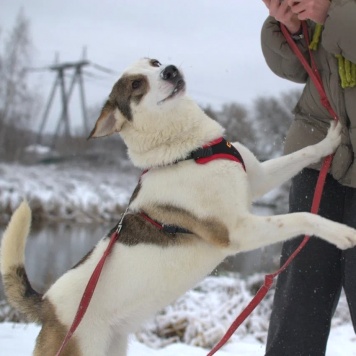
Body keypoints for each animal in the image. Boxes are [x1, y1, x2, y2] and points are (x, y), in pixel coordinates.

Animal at [2, 57, 356, 354]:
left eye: (154, 63)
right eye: (136, 85)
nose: (170, 70)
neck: (189, 152)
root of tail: (47, 305)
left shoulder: (258, 180)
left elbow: (301, 155)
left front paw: (330, 140)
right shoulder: (236, 230)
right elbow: (302, 216)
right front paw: (341, 232)